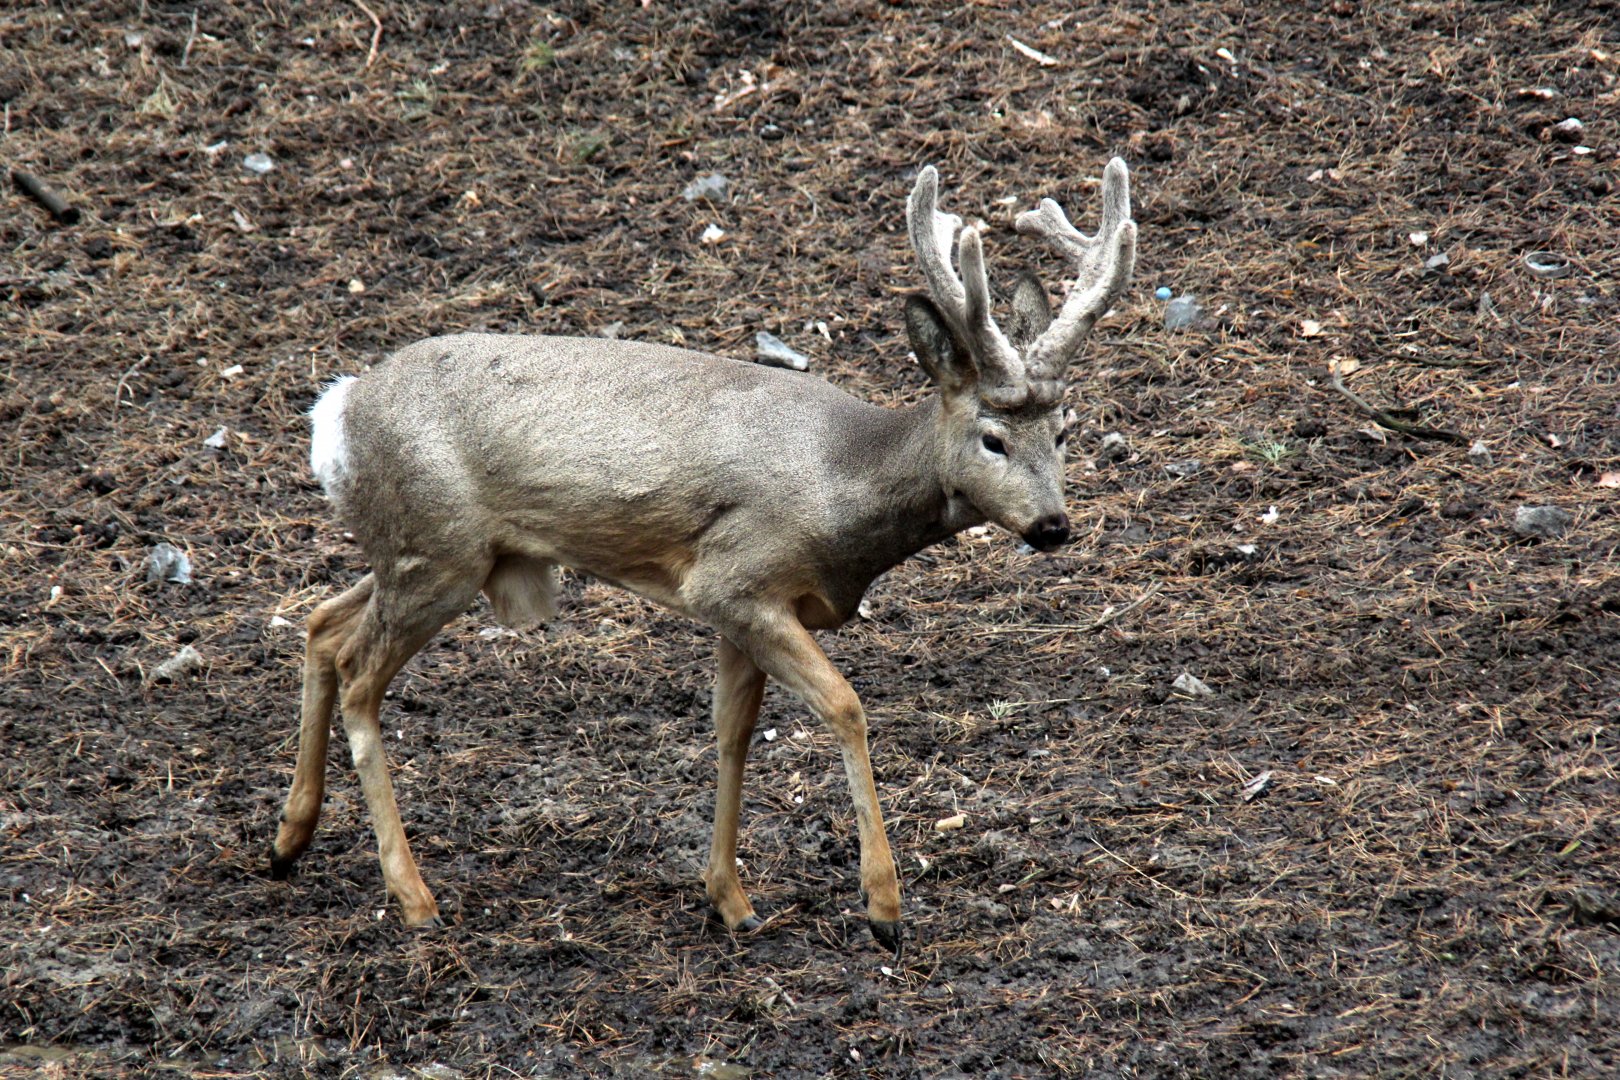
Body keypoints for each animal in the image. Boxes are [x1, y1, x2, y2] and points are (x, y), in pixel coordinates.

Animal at [269, 160, 1136, 955]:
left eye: (1064, 432)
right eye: (992, 438)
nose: (1053, 526)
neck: (842, 486)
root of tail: (335, 410)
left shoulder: (742, 608)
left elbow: (732, 733)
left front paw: (730, 899)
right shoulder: (736, 579)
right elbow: (845, 706)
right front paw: (883, 905)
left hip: (427, 552)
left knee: (320, 623)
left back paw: (288, 841)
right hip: (438, 554)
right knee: (358, 675)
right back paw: (413, 897)